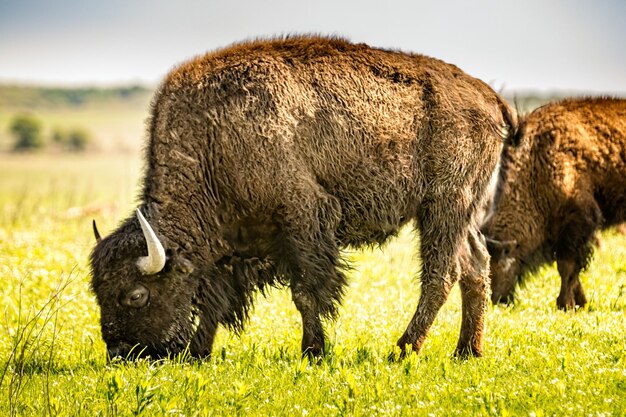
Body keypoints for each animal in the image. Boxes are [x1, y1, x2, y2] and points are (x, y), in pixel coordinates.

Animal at [90, 35, 516, 360]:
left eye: (136, 295)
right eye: (99, 293)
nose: (122, 354)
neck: (212, 141)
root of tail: (489, 96)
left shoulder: (302, 222)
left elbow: (305, 292)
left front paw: (313, 351)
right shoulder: (231, 244)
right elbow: (215, 299)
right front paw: (199, 353)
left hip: (444, 205)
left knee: (442, 274)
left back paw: (403, 349)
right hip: (463, 212)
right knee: (476, 265)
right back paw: (467, 351)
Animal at [482, 96, 624, 308]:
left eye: (498, 261)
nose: (496, 300)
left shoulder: (577, 222)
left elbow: (567, 266)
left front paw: (565, 304)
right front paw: (580, 303)